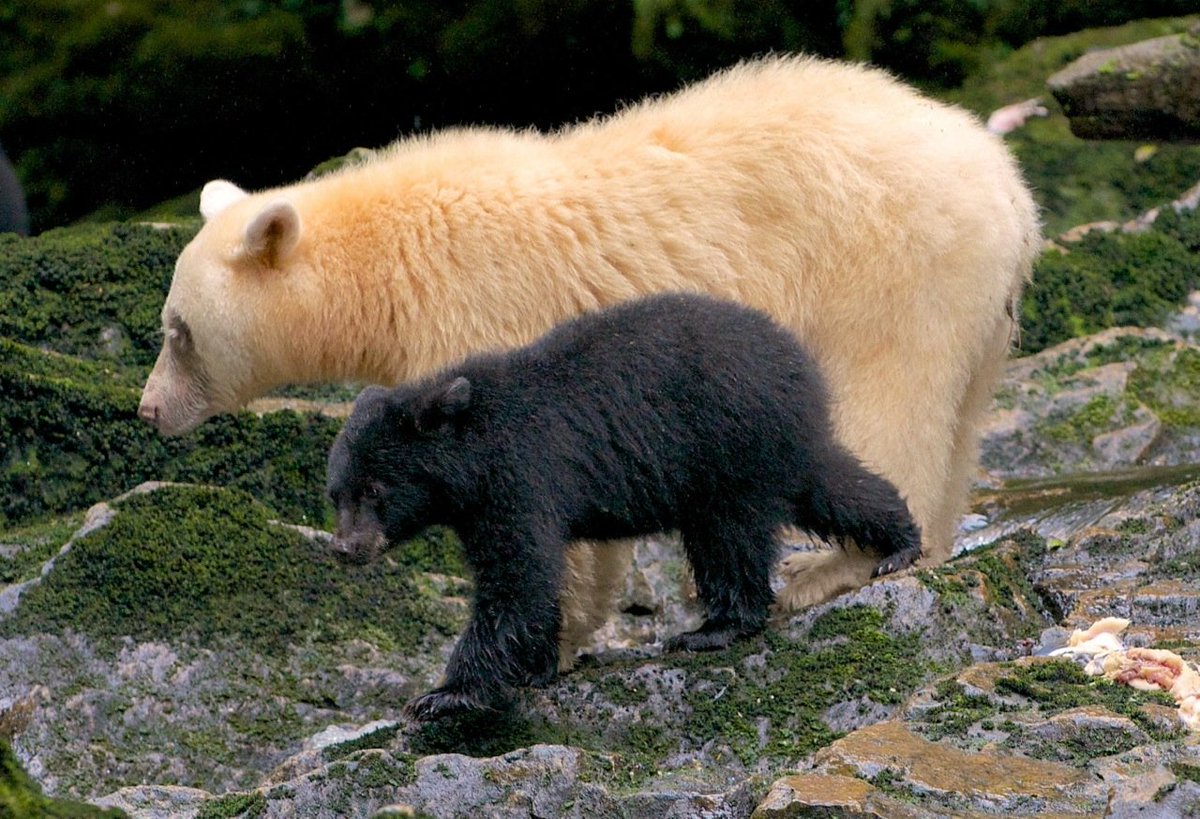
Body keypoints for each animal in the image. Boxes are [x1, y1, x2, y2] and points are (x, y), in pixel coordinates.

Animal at [138, 56, 1041, 666]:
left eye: (177, 330)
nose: (149, 408)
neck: (389, 260)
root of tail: (1008, 185)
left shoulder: (485, 313)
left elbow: (534, 490)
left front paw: (550, 644)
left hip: (888, 267)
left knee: (881, 405)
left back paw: (826, 566)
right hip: (977, 310)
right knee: (957, 418)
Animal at [326, 293, 923, 720]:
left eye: (373, 490)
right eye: (335, 494)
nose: (345, 548)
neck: (473, 445)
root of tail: (797, 357)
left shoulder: (521, 477)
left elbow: (517, 578)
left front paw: (444, 695)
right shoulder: (482, 503)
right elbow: (528, 582)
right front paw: (536, 668)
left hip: (725, 441)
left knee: (728, 536)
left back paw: (713, 628)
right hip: (771, 444)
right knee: (825, 483)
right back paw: (899, 543)